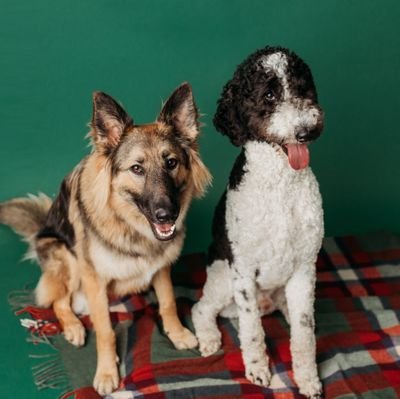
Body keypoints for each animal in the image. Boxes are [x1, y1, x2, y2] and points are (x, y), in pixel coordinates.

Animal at [0, 83, 211, 396]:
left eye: (171, 163)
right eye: (137, 168)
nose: (166, 215)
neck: (131, 226)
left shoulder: (161, 267)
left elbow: (168, 303)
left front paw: (177, 334)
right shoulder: (94, 278)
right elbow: (105, 331)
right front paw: (107, 372)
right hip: (67, 258)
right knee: (58, 301)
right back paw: (73, 327)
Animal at [193, 47, 324, 399]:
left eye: (303, 88)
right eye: (269, 95)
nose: (307, 131)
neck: (280, 186)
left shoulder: (304, 268)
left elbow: (305, 335)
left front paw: (308, 379)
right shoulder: (243, 270)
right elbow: (252, 331)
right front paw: (257, 370)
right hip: (224, 277)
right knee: (202, 309)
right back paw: (208, 338)